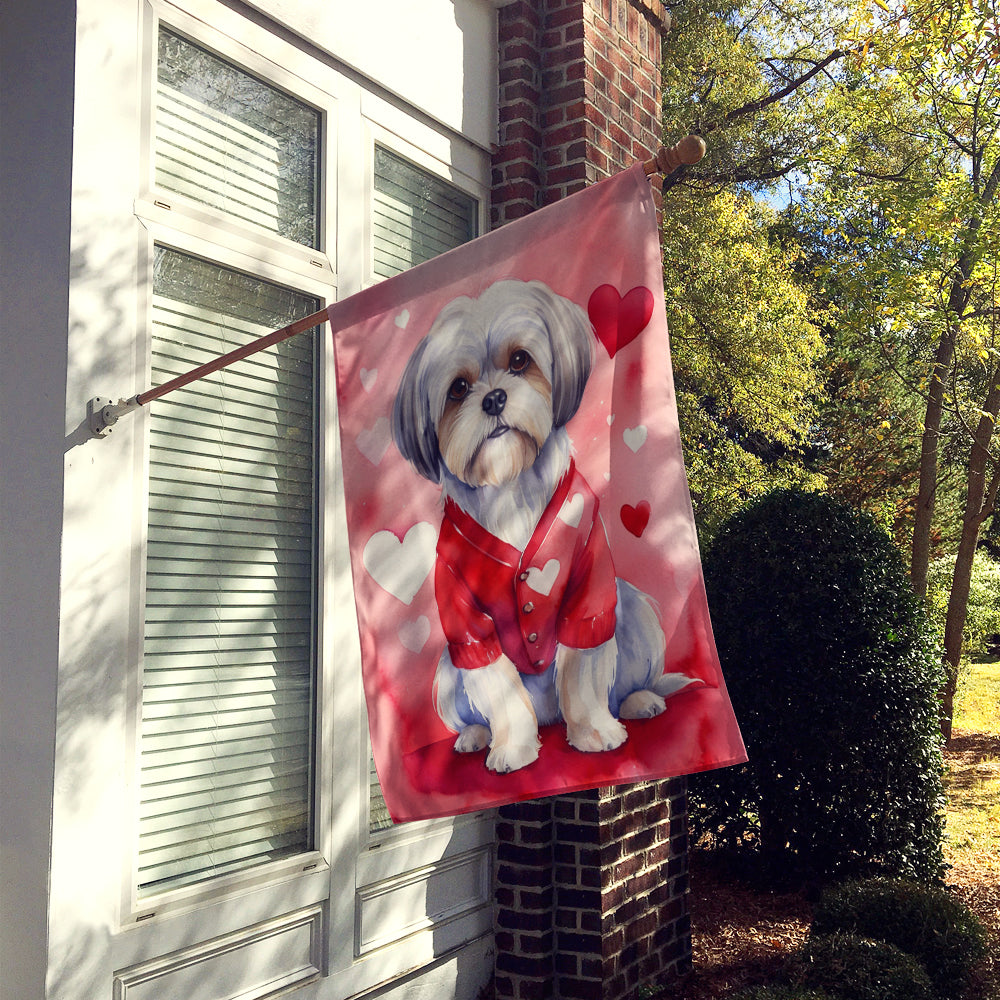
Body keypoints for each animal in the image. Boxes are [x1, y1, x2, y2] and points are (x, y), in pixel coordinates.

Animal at [392, 280, 696, 772]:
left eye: (520, 360)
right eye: (458, 388)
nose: (494, 398)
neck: (510, 488)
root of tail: (550, 716)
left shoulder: (589, 592)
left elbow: (583, 671)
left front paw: (594, 733)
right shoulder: (466, 621)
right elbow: (499, 687)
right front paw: (513, 749)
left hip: (636, 610)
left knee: (619, 684)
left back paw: (639, 702)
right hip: (446, 669)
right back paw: (475, 736)